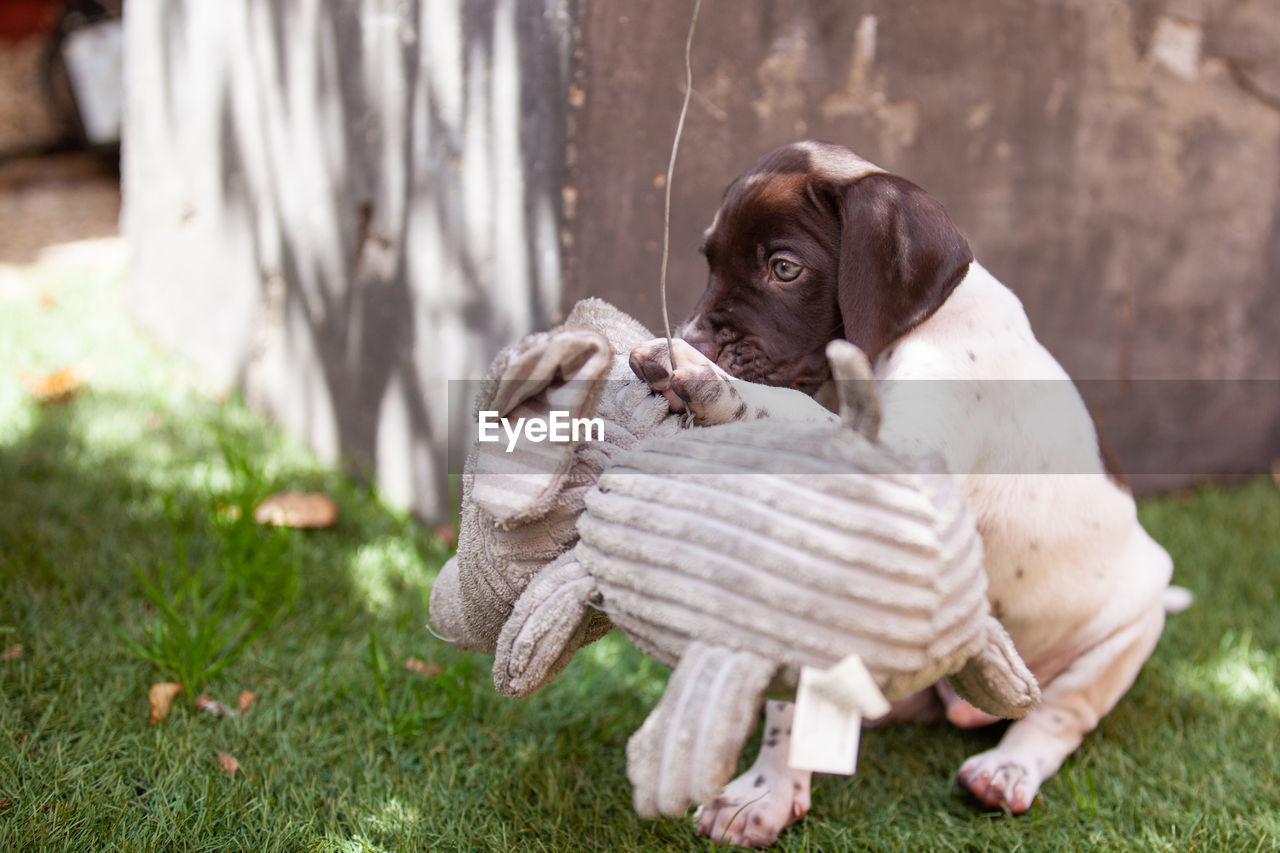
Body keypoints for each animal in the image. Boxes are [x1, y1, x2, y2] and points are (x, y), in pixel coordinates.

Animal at [634, 139, 1182, 845]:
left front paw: (702, 378)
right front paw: (768, 789)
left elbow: (790, 412)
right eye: (710, 262)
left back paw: (1007, 769)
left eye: (785, 268)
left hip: (1124, 633)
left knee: (1060, 715)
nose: (697, 339)